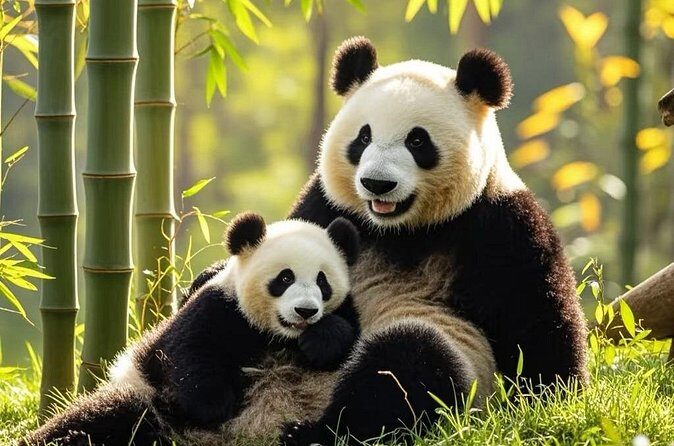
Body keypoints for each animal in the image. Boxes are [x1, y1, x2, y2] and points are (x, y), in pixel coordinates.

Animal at [22, 213, 361, 446]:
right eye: (285, 277)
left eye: (322, 281)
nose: (306, 311)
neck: (276, 337)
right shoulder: (219, 308)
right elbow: (189, 352)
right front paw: (217, 405)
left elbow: (347, 337)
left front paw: (321, 339)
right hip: (145, 404)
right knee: (94, 420)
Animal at [217, 37, 588, 446]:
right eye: (363, 137)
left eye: (417, 140)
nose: (377, 183)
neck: (400, 230)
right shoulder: (325, 205)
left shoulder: (501, 223)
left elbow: (538, 322)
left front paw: (552, 404)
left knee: (407, 361)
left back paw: (314, 432)